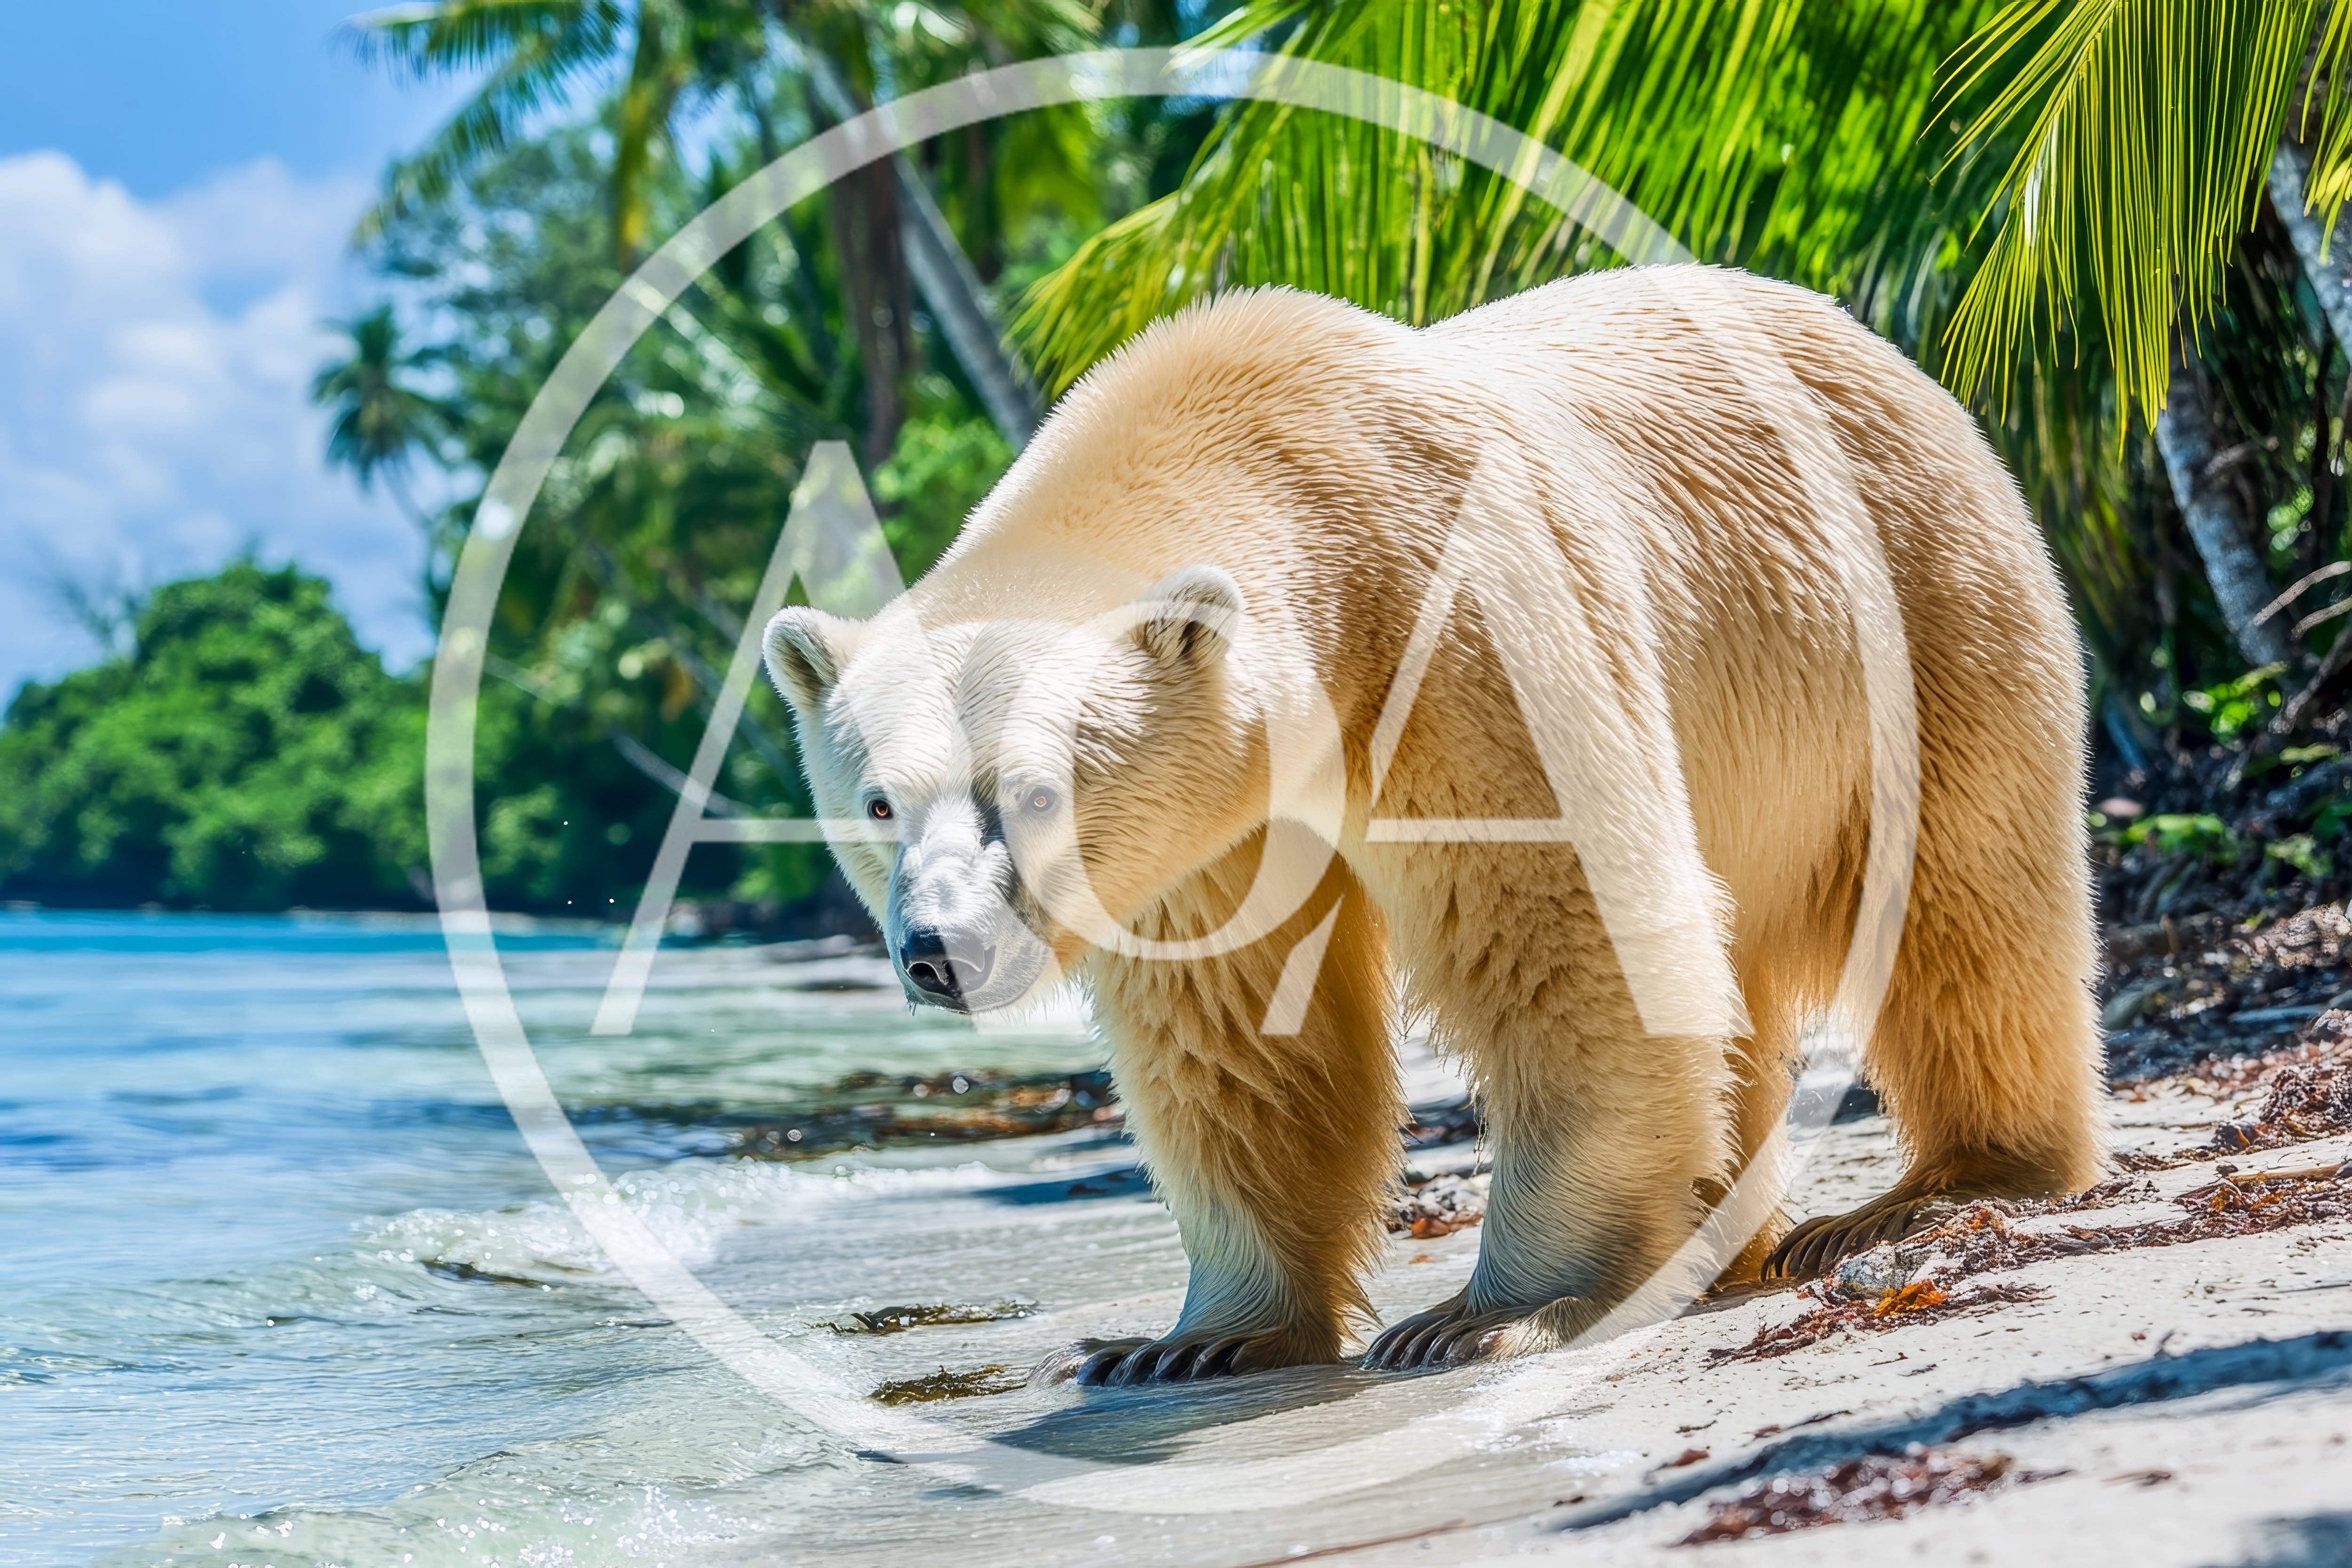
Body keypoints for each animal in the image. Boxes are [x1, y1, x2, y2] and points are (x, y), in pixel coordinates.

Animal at [761, 265, 2106, 1384]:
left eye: (1037, 793)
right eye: (879, 800)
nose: (939, 954)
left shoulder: (1461, 636)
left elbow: (1570, 937)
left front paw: (1483, 1314)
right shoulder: (1217, 826)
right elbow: (1238, 1034)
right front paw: (1190, 1341)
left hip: (1914, 611)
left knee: (1959, 899)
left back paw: (1934, 1189)